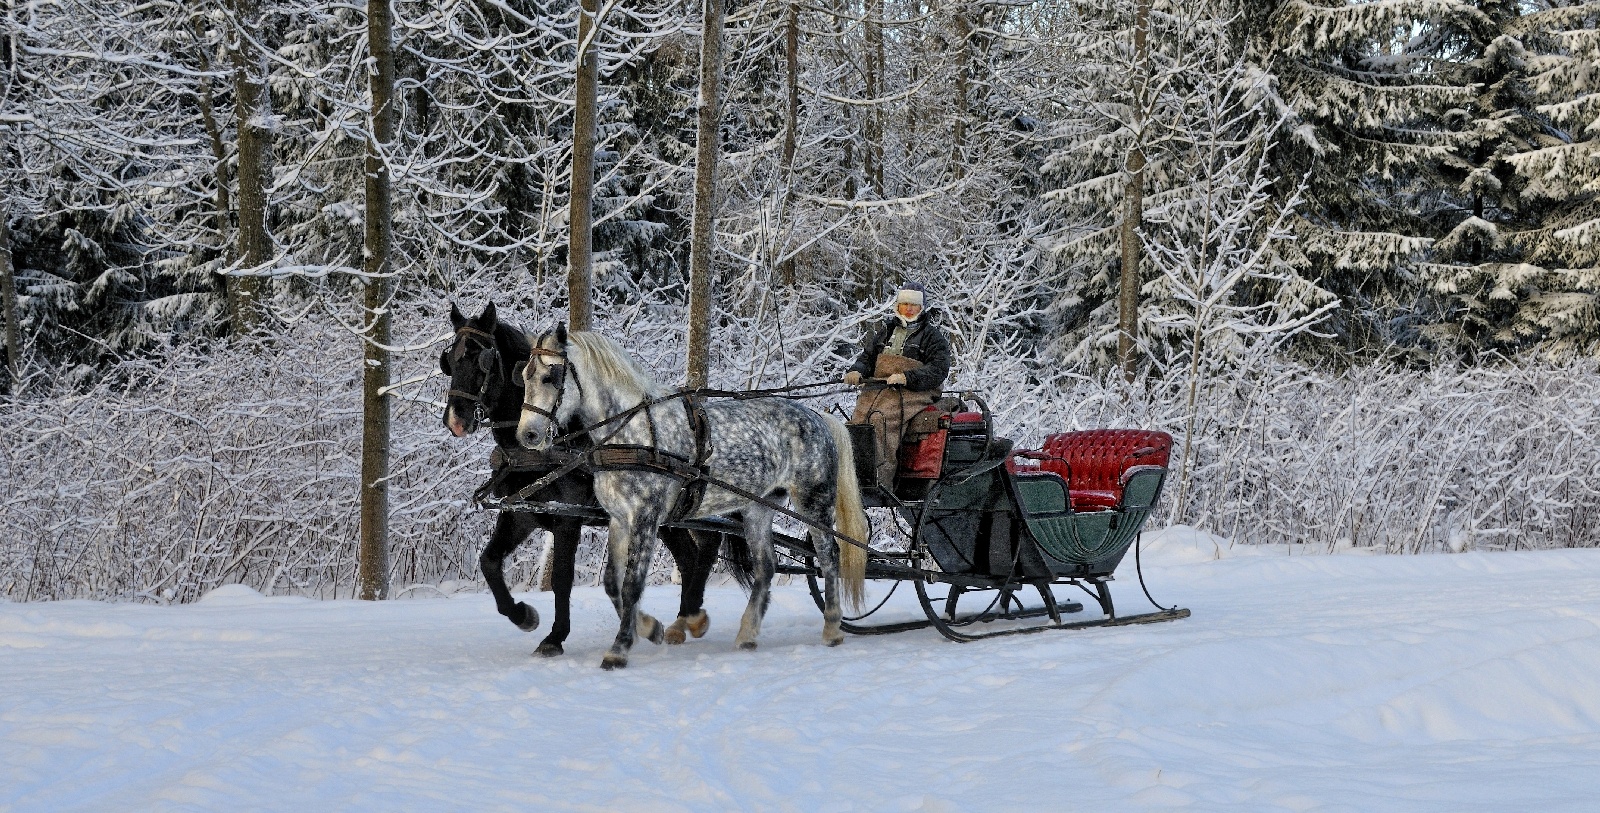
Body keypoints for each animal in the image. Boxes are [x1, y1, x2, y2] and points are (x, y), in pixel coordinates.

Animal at [441, 302, 732, 656]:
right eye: (449, 360)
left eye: (480, 358)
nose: (455, 420)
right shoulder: (522, 514)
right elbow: (489, 562)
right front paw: (523, 615)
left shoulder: (568, 516)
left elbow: (562, 577)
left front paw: (554, 637)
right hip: (669, 516)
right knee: (690, 557)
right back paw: (684, 619)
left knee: (708, 545)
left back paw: (692, 616)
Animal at [515, 326, 870, 668]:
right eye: (525, 377)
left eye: (549, 377)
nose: (527, 435)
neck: (635, 434)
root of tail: (817, 416)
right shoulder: (619, 519)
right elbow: (613, 584)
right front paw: (650, 628)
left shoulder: (645, 518)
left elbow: (631, 585)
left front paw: (620, 649)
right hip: (759, 508)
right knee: (766, 567)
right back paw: (747, 634)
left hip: (814, 501)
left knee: (829, 557)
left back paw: (832, 628)